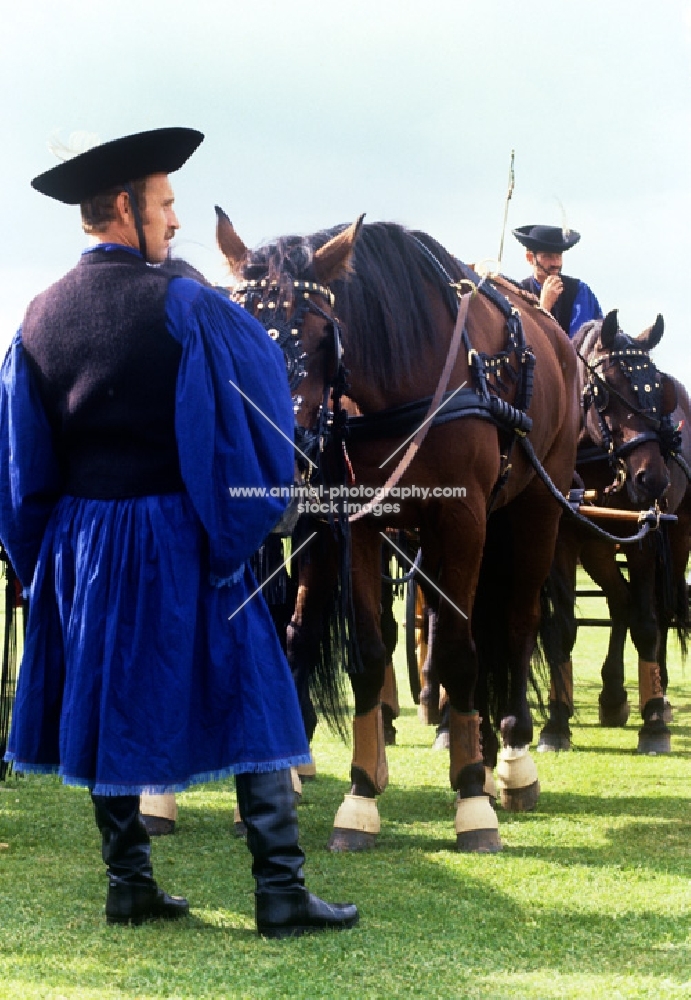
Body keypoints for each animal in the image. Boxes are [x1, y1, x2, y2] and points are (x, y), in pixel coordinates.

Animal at [219, 217, 580, 852]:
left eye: (322, 336)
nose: (276, 457)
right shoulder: (359, 522)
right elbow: (367, 651)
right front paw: (361, 797)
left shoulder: (461, 520)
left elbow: (459, 650)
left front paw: (472, 801)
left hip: (535, 509)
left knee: (516, 624)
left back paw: (510, 758)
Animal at [536, 312, 688, 752]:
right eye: (605, 393)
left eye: (657, 392)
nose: (652, 479)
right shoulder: (564, 542)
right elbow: (562, 629)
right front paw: (556, 721)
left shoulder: (643, 539)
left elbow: (647, 623)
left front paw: (653, 723)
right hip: (598, 547)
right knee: (620, 601)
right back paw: (613, 695)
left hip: (677, 539)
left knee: (658, 610)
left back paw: (658, 696)